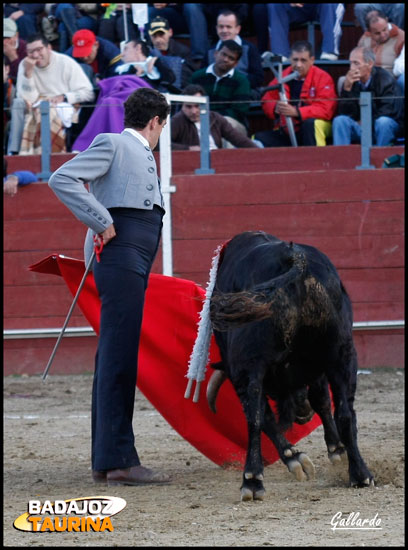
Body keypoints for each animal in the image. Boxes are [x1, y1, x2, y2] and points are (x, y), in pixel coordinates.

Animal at [207, 231, 372, 502]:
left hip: (247, 366)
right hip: (342, 352)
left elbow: (266, 417)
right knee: (346, 412)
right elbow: (322, 400)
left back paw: (252, 480)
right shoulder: (317, 368)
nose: (302, 414)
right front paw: (334, 450)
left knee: (255, 417)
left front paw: (297, 458)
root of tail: (295, 259)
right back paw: (360, 474)